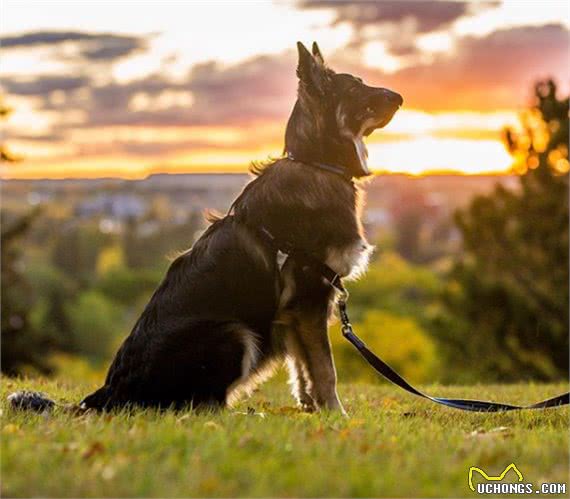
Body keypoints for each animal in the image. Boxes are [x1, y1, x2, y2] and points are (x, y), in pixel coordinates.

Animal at [8, 42, 400, 414]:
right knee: (201, 405)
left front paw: (312, 409)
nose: (400, 98)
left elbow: (303, 369)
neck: (315, 162)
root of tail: (109, 394)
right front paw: (336, 414)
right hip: (235, 333)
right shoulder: (309, 298)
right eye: (355, 88)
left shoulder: (295, 313)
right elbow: (324, 369)